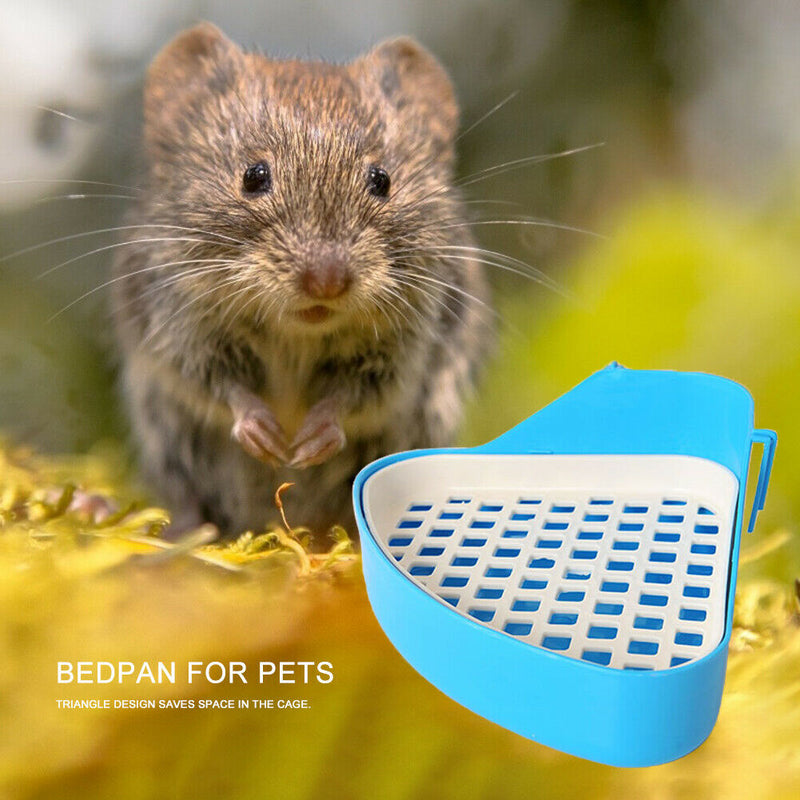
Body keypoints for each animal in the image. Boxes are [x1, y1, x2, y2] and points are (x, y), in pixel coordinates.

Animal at [111, 23, 490, 536]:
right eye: (253, 176)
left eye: (382, 180)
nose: (326, 282)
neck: (297, 332)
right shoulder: (180, 329)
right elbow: (218, 386)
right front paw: (264, 434)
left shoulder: (404, 350)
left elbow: (356, 398)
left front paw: (311, 440)